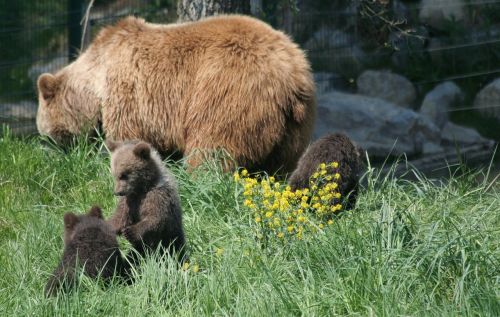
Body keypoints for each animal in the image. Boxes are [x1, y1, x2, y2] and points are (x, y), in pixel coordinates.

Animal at [36, 14, 316, 173]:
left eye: (46, 132)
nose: (49, 150)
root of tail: (292, 74)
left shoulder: (128, 95)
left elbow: (127, 137)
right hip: (294, 128)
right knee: (280, 166)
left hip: (227, 90)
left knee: (212, 148)